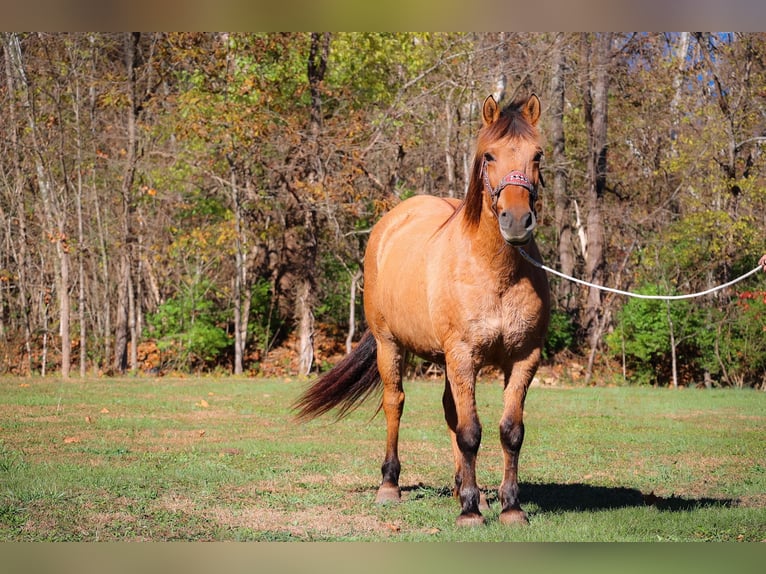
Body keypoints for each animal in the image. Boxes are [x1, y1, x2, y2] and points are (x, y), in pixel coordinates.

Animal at [294, 94, 550, 526]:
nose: (517, 222)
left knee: (450, 411)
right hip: (389, 345)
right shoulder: (463, 354)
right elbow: (471, 432)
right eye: (489, 156)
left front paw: (509, 506)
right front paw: (470, 512)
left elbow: (510, 431)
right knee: (395, 403)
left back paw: (463, 488)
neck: (495, 271)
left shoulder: (522, 358)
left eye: (537, 154)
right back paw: (390, 485)